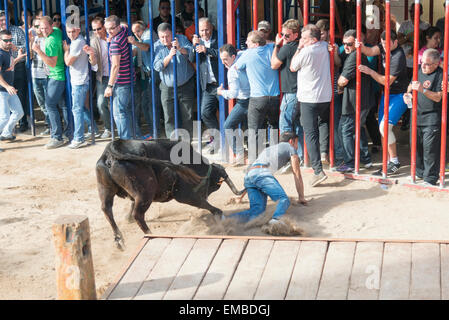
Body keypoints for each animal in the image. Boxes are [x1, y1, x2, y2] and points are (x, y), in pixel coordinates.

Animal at [95, 139, 245, 249]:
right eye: (214, 186)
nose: (205, 194)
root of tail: (112, 149)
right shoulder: (184, 195)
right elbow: (207, 205)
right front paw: (219, 214)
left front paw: (127, 219)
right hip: (146, 193)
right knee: (138, 214)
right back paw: (150, 234)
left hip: (106, 189)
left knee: (107, 209)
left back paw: (119, 240)